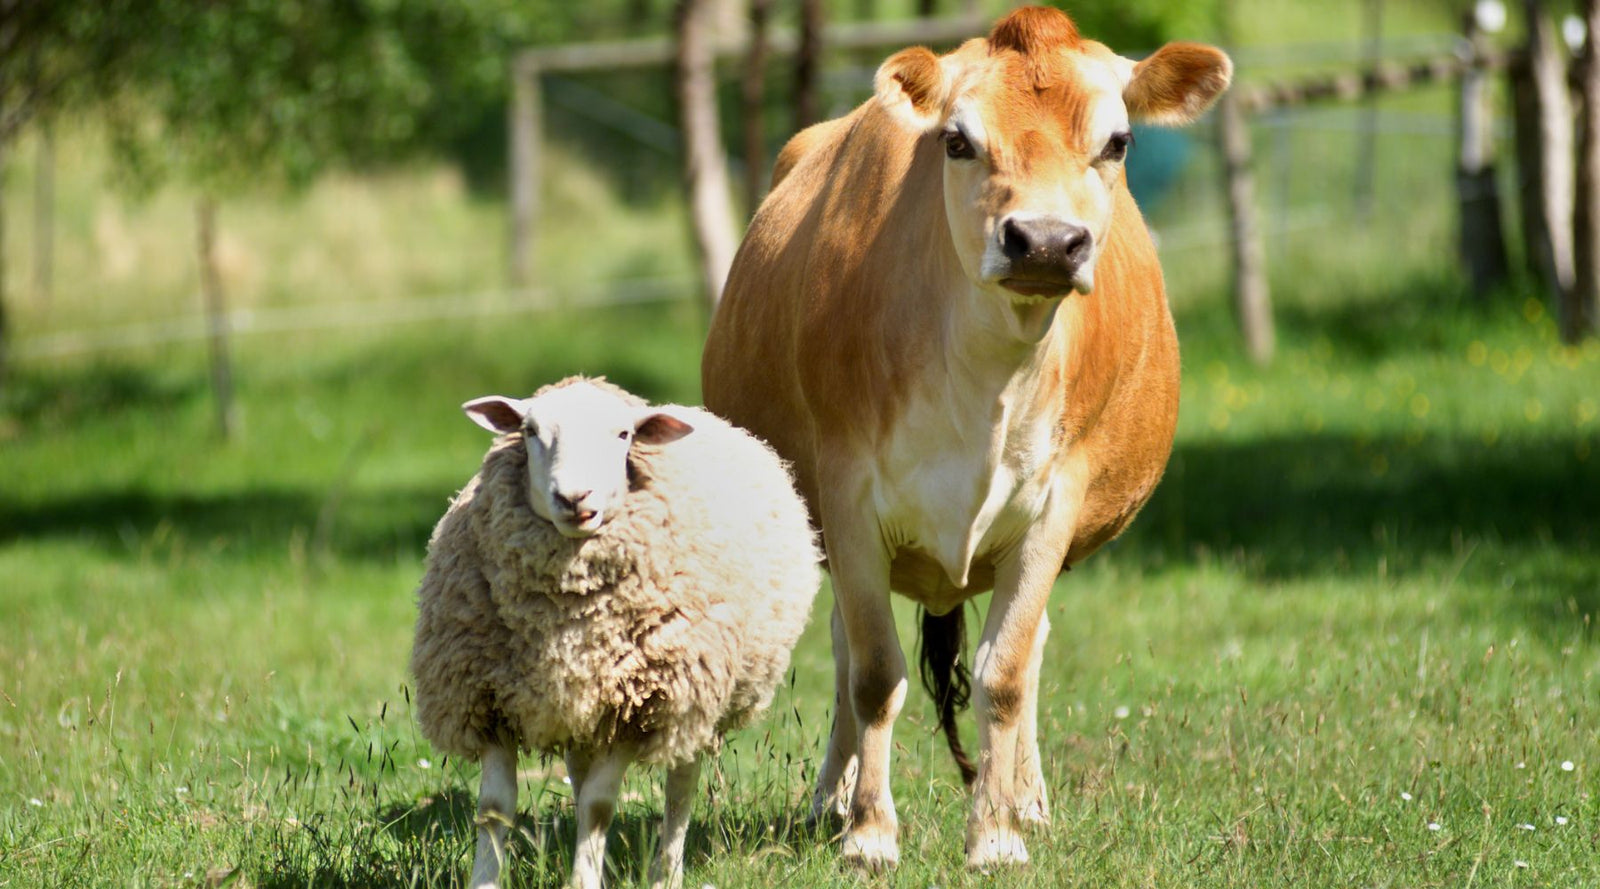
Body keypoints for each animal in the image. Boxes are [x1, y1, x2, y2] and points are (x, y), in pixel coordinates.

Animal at [410, 376, 821, 889]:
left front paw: (583, 880)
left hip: (691, 698)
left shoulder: (639, 707)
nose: (574, 498)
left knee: (680, 788)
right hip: (580, 706)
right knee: (580, 769)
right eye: (529, 431)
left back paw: (667, 872)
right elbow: (494, 809)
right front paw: (487, 879)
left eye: (624, 435)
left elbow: (600, 806)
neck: (565, 616)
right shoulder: (486, 700)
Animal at [701, 6, 1230, 871]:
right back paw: (832, 799)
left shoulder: (1054, 508)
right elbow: (873, 672)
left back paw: (1028, 797)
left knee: (1031, 644)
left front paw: (997, 834)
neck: (987, 380)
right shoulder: (847, 499)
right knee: (846, 648)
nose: (1045, 240)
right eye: (956, 140)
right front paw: (869, 831)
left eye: (1118, 141)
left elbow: (1005, 671)